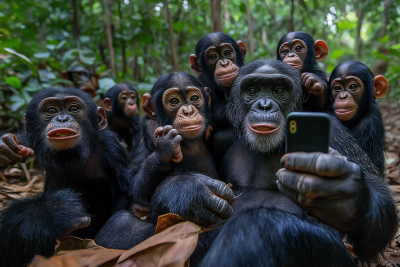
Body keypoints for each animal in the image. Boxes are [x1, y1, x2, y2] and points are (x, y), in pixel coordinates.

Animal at [0, 88, 131, 267]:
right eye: (51, 110)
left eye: (74, 108)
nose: (62, 118)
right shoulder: (28, 142)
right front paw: (5, 146)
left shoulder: (111, 148)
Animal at [94, 73, 233, 260]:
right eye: (174, 101)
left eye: (194, 98)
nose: (188, 111)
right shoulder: (151, 129)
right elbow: (136, 190)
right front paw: (166, 149)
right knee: (121, 222)